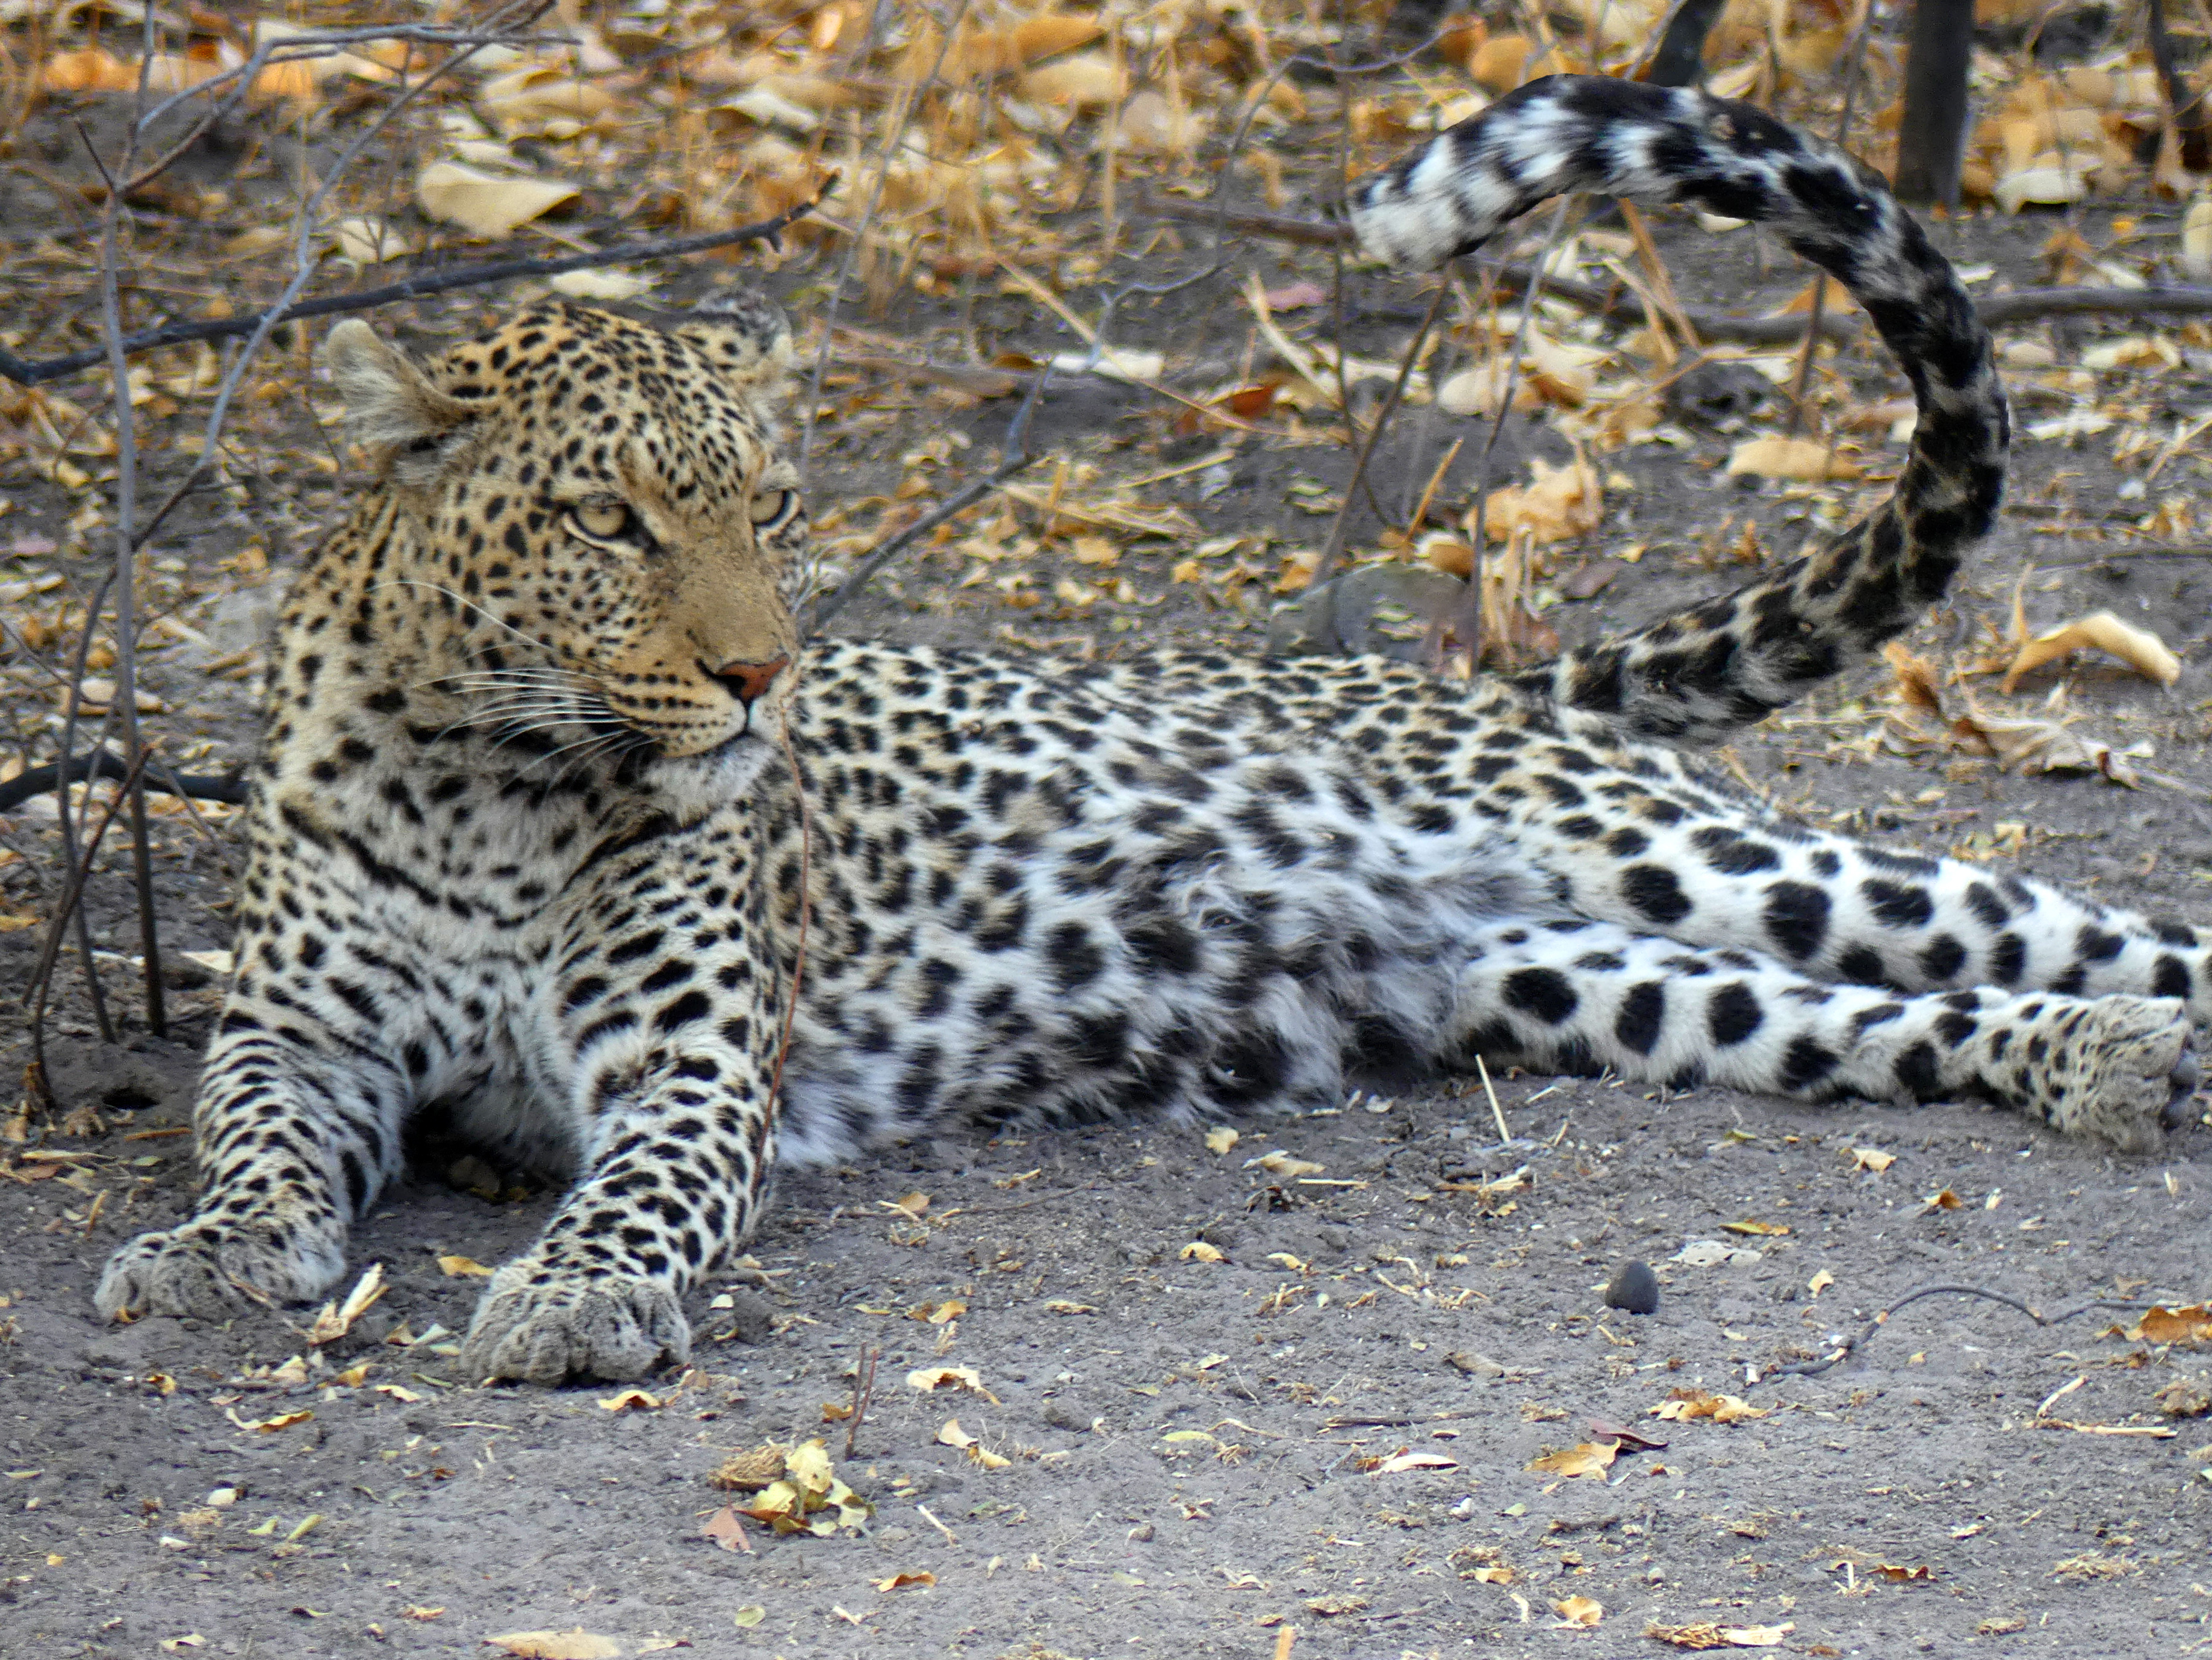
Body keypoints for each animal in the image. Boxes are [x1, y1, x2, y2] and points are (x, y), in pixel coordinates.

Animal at [104, 78, 2212, 1381]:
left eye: (770, 509)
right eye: (610, 525)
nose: (761, 675)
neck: (488, 788)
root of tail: (1480, 682)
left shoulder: (687, 1063)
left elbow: (635, 1190)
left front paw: (570, 1302)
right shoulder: (299, 1026)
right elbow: (247, 1133)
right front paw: (214, 1251)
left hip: (1689, 851)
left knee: (2085, 923)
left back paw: (2136, 1028)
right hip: (1575, 975)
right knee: (1878, 1016)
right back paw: (2104, 1064)